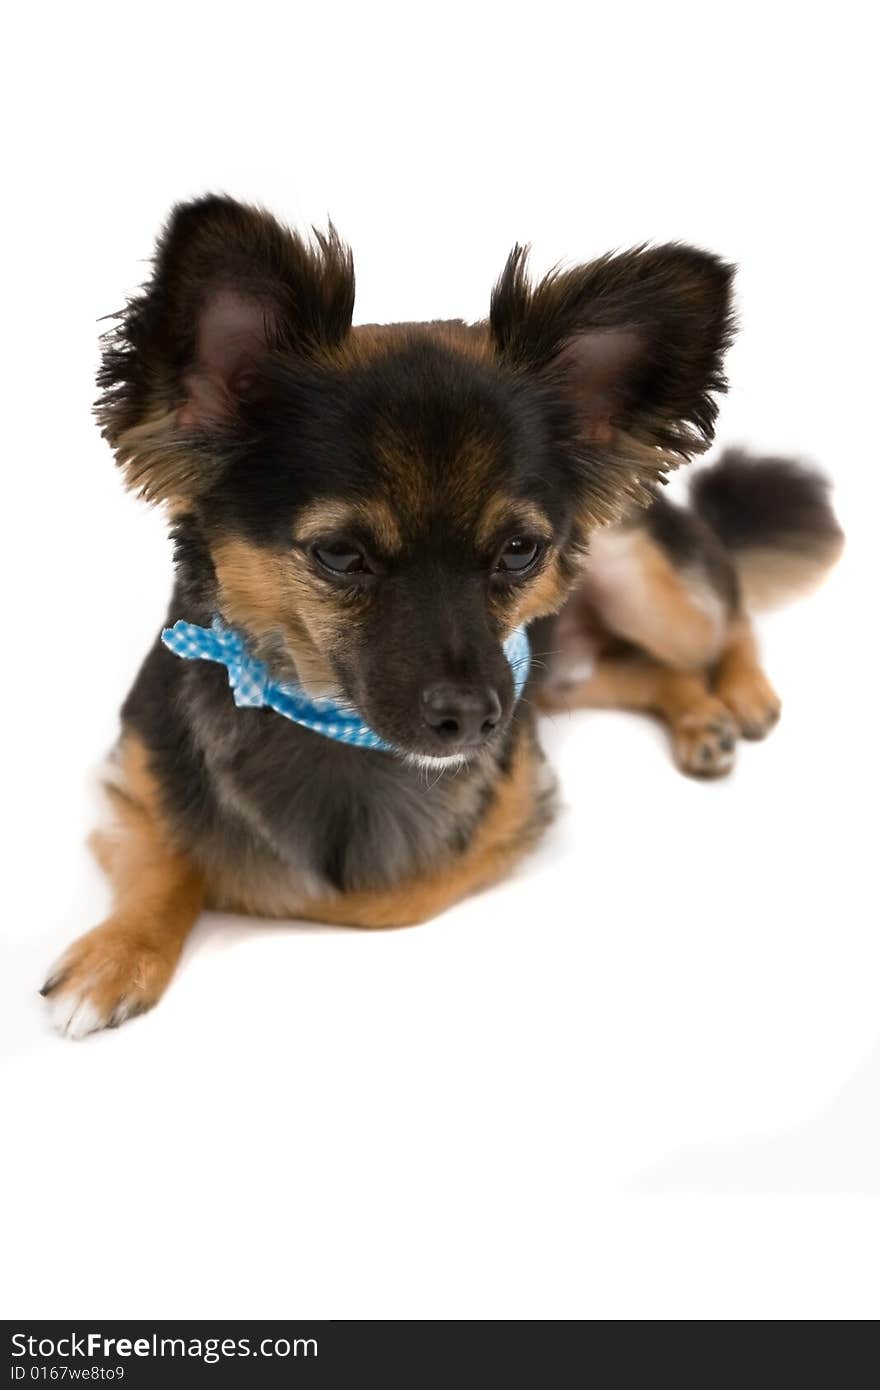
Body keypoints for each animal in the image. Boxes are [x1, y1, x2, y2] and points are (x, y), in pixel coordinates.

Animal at [39, 198, 839, 1045]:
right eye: (340, 554)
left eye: (520, 551)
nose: (472, 719)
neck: (323, 718)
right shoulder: (130, 780)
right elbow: (166, 854)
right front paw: (120, 951)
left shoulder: (511, 806)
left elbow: (366, 894)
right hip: (565, 677)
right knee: (649, 671)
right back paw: (700, 720)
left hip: (644, 586)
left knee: (725, 619)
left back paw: (741, 696)